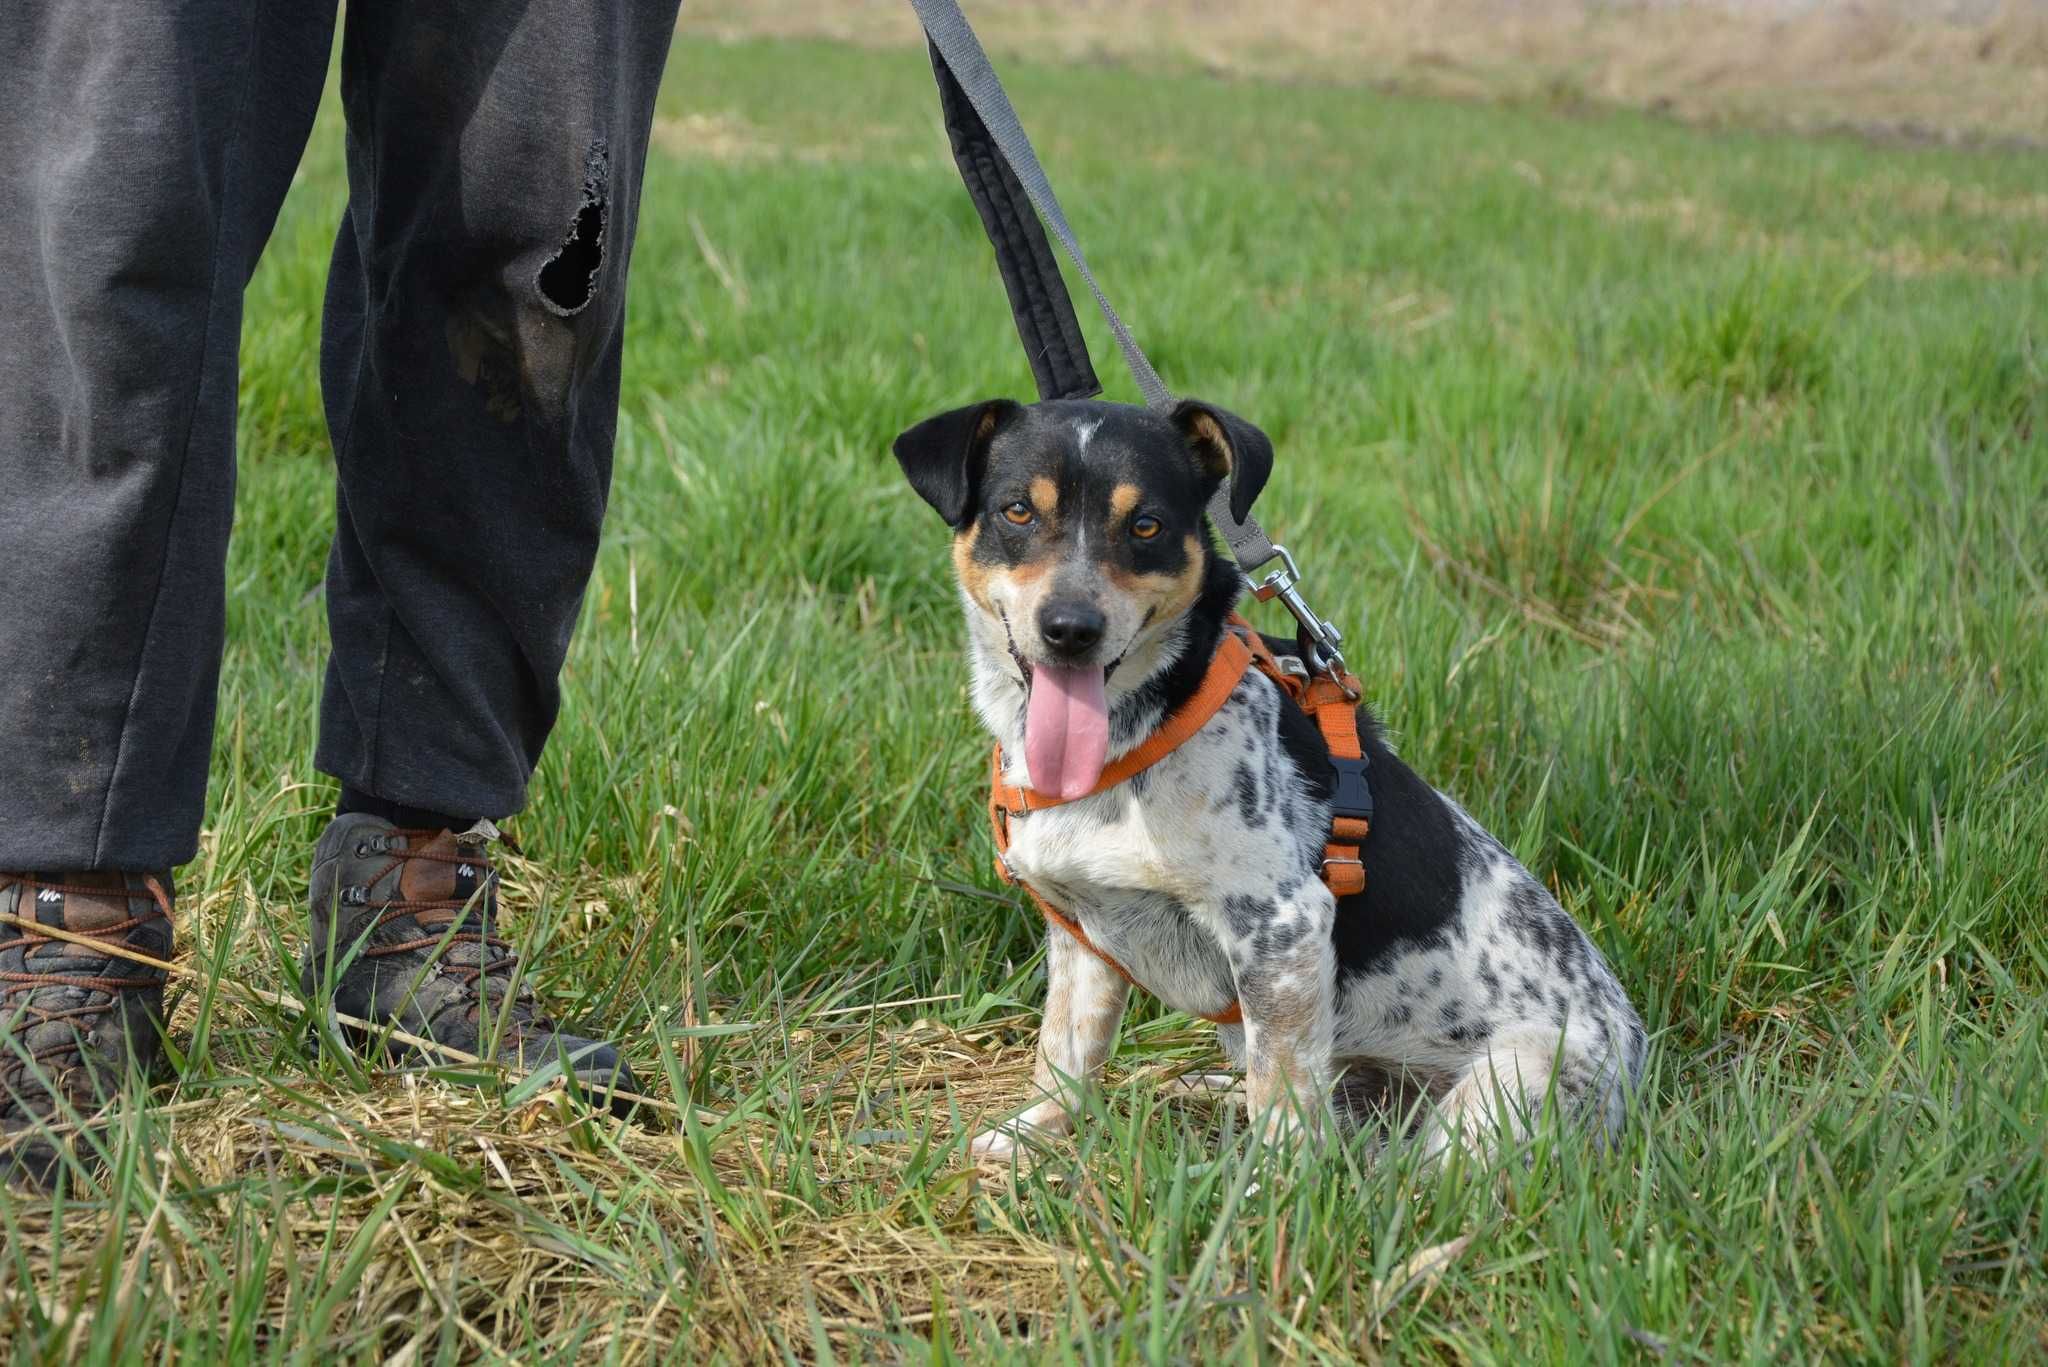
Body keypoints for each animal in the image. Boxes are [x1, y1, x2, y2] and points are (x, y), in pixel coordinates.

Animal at [897, 395, 1646, 1155]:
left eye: (1146, 525)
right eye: (1017, 511)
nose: (1070, 628)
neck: (1134, 739)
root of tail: (1634, 1064)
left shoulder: (1283, 932)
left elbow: (1281, 1103)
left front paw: (1265, 1185)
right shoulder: (1083, 934)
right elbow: (1065, 1055)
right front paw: (1029, 1137)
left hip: (1497, 1097)